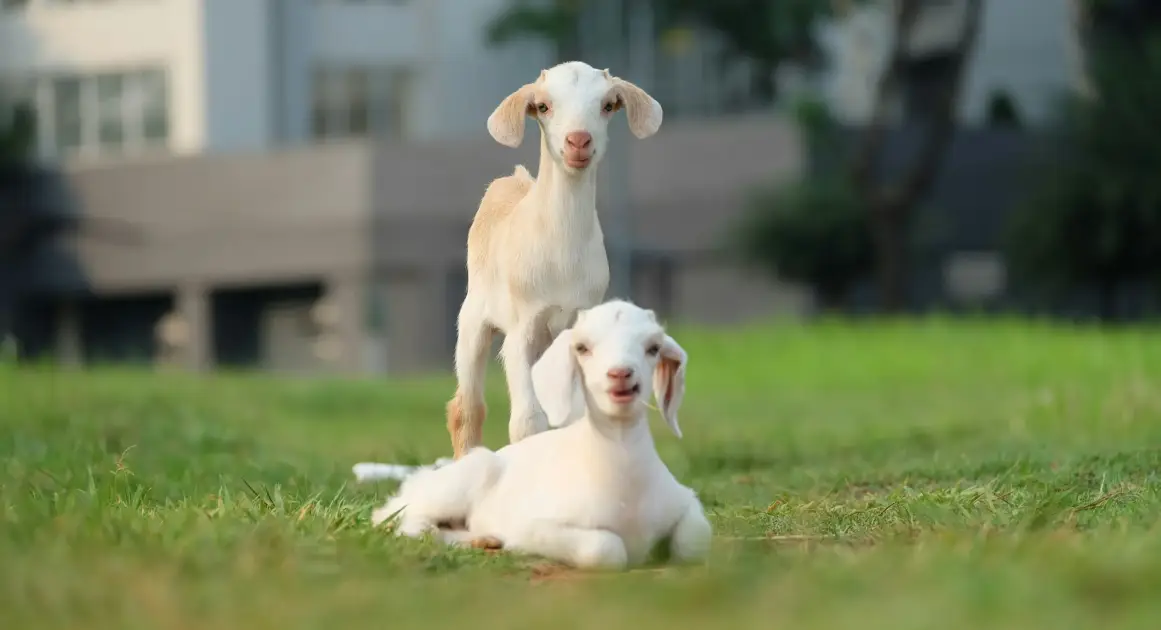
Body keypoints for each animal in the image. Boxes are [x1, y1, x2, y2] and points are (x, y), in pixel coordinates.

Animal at [371, 299, 711, 570]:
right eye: (582, 348)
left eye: (653, 348)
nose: (620, 374)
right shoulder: (535, 524)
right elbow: (606, 549)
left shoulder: (684, 499)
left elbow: (694, 541)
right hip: (455, 484)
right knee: (396, 518)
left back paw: (483, 540)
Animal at [446, 61, 664, 459]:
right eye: (544, 106)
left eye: (607, 105)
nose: (578, 141)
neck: (562, 254)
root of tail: (513, 179)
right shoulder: (522, 327)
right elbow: (527, 422)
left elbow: (573, 418)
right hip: (473, 320)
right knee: (467, 407)